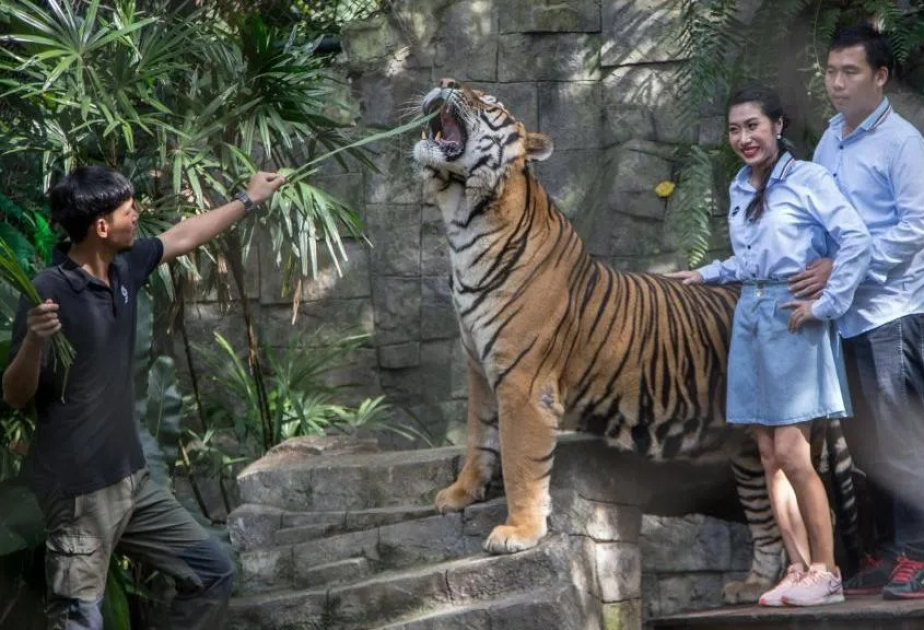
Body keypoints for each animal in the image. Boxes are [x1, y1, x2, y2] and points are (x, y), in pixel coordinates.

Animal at [411, 78, 858, 604]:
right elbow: (478, 437)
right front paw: (460, 493)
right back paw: (751, 586)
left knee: (819, 506)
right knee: (768, 517)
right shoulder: (479, 369)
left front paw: (517, 531)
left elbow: (521, 461)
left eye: (490, 102)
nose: (446, 83)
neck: (466, 222)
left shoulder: (524, 385)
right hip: (748, 451)